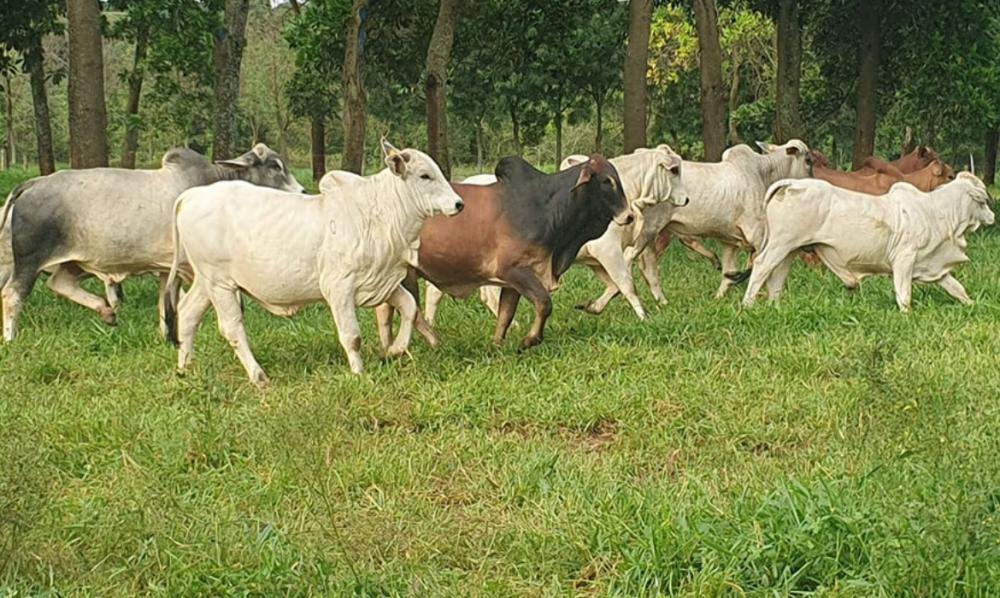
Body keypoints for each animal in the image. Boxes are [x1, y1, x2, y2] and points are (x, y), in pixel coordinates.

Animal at [0, 143, 304, 342]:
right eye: (275, 166)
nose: (302, 191)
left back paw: (107, 312)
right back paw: (11, 338)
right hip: (29, 260)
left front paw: (167, 336)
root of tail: (30, 184)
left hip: (76, 261)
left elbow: (164, 304)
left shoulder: (167, 269)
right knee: (13, 294)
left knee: (59, 283)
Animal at [162, 139, 462, 384]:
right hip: (220, 283)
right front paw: (359, 372)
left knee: (187, 314)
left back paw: (184, 368)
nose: (458, 204)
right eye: (425, 175)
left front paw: (395, 349)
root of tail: (190, 196)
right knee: (232, 328)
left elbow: (410, 307)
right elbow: (352, 336)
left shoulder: (382, 282)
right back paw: (258, 376)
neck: (378, 213)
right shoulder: (339, 287)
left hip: (206, 282)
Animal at [426, 146, 692, 324]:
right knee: (456, 293)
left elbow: (613, 286)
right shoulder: (608, 251)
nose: (687, 199)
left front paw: (592, 306)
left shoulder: (594, 260)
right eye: (674, 170)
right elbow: (627, 284)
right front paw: (644, 317)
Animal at [744, 173, 992, 312]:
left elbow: (957, 288)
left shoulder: (933, 265)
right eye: (982, 201)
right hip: (780, 244)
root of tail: (793, 183)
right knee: (762, 266)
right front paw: (907, 315)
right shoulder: (904, 260)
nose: (992, 216)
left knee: (777, 276)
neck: (936, 212)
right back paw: (747, 306)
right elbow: (904, 294)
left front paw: (973, 305)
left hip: (790, 250)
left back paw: (775, 307)